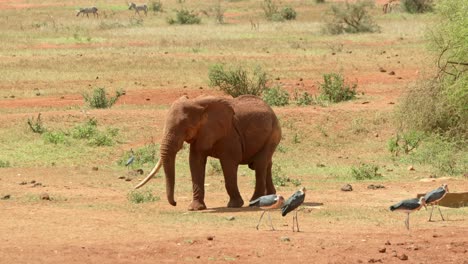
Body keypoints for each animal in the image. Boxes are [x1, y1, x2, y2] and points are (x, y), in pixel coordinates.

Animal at [134, 94, 282, 211]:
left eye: (186, 127)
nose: (175, 203)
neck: (198, 104)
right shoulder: (200, 134)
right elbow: (195, 162)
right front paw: (195, 208)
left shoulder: (229, 134)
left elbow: (229, 163)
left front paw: (234, 205)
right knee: (266, 164)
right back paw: (271, 198)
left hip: (273, 134)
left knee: (260, 165)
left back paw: (255, 202)